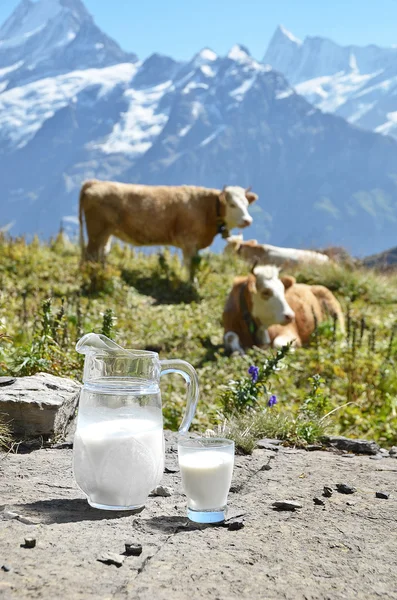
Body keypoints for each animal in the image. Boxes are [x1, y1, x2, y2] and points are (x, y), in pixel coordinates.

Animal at [79, 179, 256, 280]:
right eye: (232, 204)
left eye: (247, 204)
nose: (248, 220)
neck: (206, 208)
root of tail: (95, 181)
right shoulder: (189, 242)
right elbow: (190, 266)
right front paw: (190, 285)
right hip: (96, 231)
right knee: (90, 254)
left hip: (106, 233)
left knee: (102, 252)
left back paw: (102, 273)